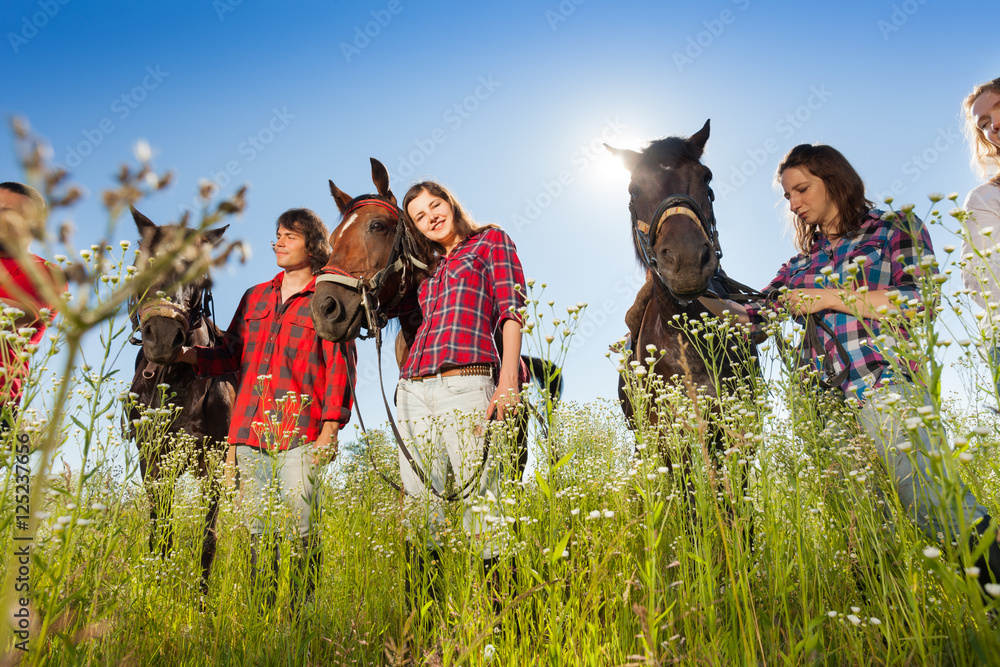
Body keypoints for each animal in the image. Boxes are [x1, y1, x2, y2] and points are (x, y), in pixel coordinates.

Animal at [127, 207, 236, 596]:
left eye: (199, 270)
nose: (161, 337)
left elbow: (209, 537)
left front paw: (201, 601)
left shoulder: (214, 460)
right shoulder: (152, 460)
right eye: (144, 262)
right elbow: (161, 530)